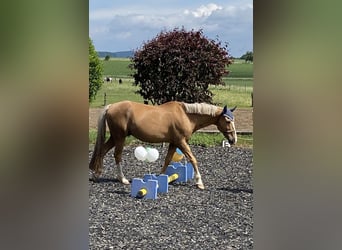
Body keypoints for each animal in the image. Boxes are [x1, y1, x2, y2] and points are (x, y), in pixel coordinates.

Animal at [89, 100, 236, 188]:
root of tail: (111, 106)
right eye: (228, 121)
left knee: (102, 150)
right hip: (120, 137)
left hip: (114, 137)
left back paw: (97, 175)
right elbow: (193, 159)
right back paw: (122, 179)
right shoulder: (181, 142)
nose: (233, 140)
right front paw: (199, 182)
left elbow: (167, 160)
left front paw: (160, 178)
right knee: (117, 155)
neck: (186, 115)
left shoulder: (174, 143)